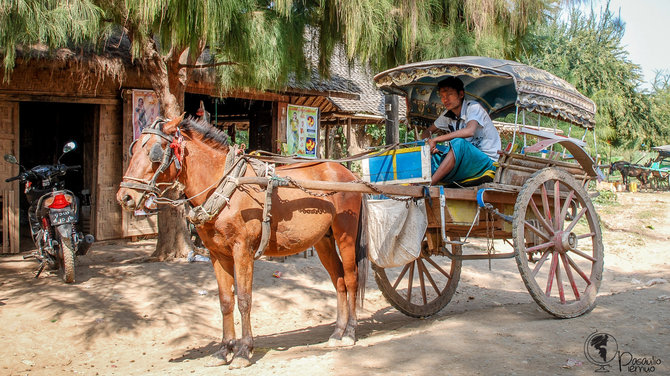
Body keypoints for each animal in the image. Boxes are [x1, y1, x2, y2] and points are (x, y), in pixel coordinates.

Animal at [115, 115, 368, 368]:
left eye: (155, 153)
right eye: (133, 149)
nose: (125, 197)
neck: (226, 187)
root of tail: (349, 175)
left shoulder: (243, 251)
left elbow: (244, 300)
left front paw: (243, 351)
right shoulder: (217, 255)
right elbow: (226, 300)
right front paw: (223, 349)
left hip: (345, 235)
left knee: (351, 279)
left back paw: (350, 332)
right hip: (324, 240)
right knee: (339, 280)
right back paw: (337, 332)